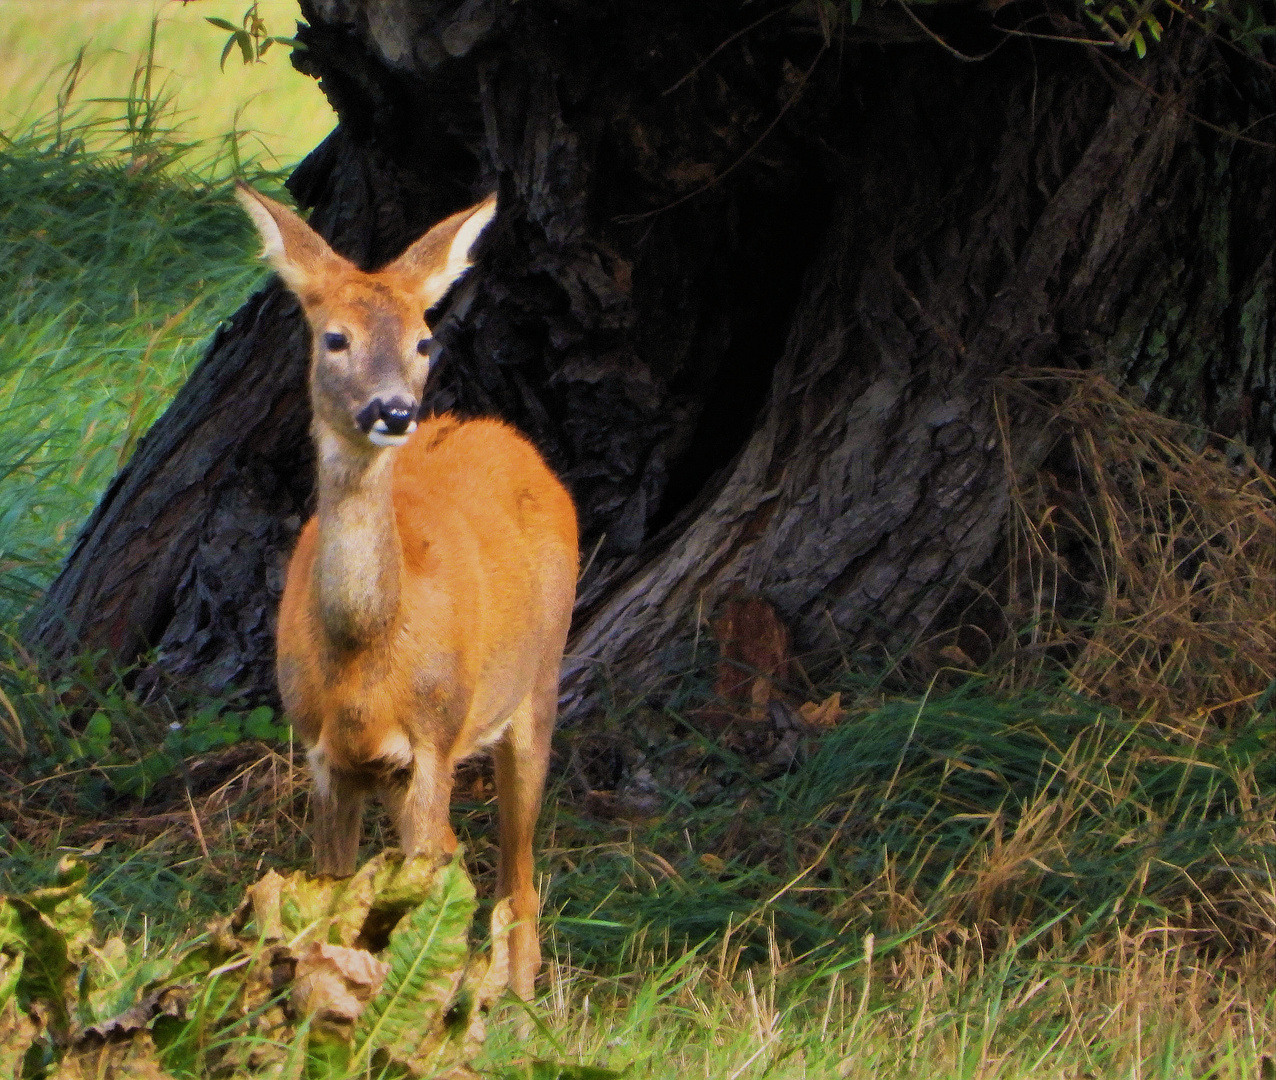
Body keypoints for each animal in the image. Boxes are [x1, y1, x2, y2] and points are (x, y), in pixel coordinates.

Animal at [236, 181, 579, 1000]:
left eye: (425, 343)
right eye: (335, 338)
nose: (394, 411)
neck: (367, 646)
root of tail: (508, 438)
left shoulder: (433, 738)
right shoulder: (325, 752)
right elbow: (330, 909)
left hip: (536, 682)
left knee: (517, 869)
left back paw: (519, 1004)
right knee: (465, 858)